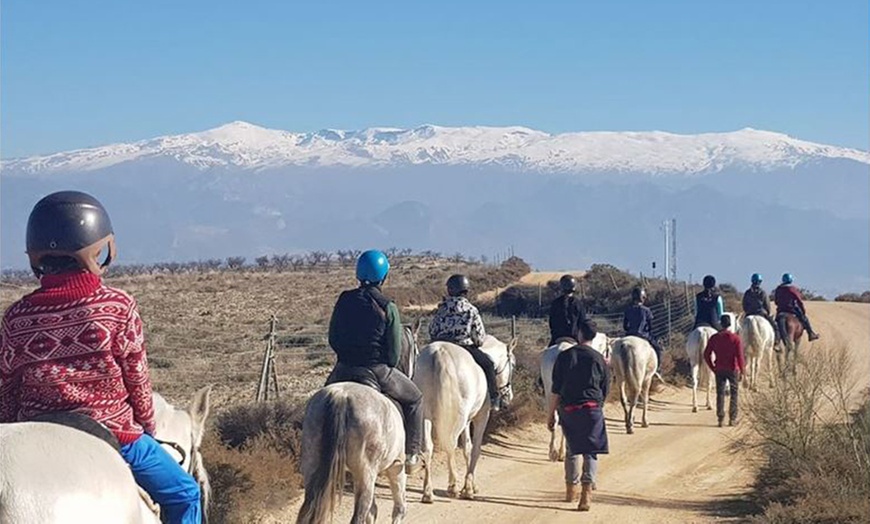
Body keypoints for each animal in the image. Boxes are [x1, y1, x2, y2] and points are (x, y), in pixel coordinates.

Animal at [294, 324, 420, 524]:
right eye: (416, 351)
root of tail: (341, 397)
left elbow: (373, 512)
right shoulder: (396, 468)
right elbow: (399, 509)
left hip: (312, 466)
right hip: (365, 474)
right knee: (360, 515)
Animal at [414, 336, 516, 504]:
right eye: (513, 364)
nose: (509, 396)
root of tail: (439, 352)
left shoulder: (467, 421)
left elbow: (467, 448)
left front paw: (471, 485)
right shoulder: (481, 417)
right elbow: (475, 449)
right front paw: (468, 489)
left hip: (425, 414)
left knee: (428, 448)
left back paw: (428, 492)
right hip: (458, 416)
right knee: (450, 444)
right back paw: (452, 486)